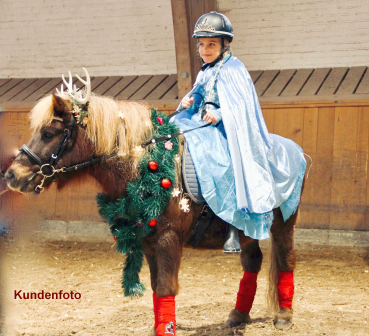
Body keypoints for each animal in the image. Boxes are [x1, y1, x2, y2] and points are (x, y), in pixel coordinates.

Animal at [4, 69, 300, 336]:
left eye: (49, 132)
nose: (12, 175)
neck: (145, 166)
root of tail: (293, 149)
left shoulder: (168, 238)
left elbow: (167, 288)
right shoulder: (148, 240)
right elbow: (157, 288)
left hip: (284, 224)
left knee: (286, 259)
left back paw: (284, 316)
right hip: (249, 230)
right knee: (252, 261)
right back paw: (239, 314)